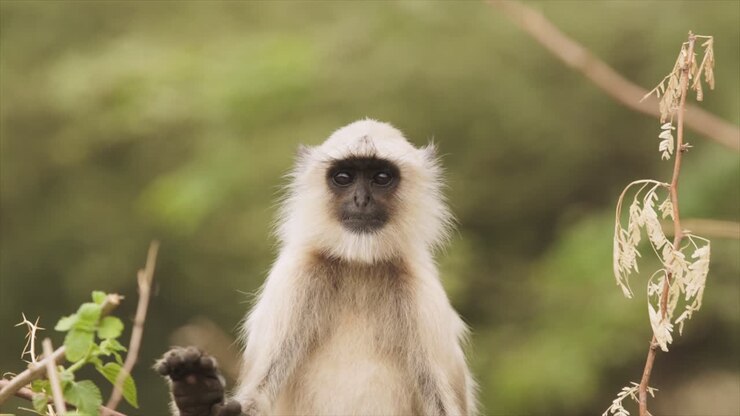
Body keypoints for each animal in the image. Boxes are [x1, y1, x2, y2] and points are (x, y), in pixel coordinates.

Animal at [157, 119, 477, 416]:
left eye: (381, 177)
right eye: (344, 177)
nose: (361, 199)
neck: (359, 267)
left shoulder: (422, 295)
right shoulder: (296, 277)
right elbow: (254, 400)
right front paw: (196, 396)